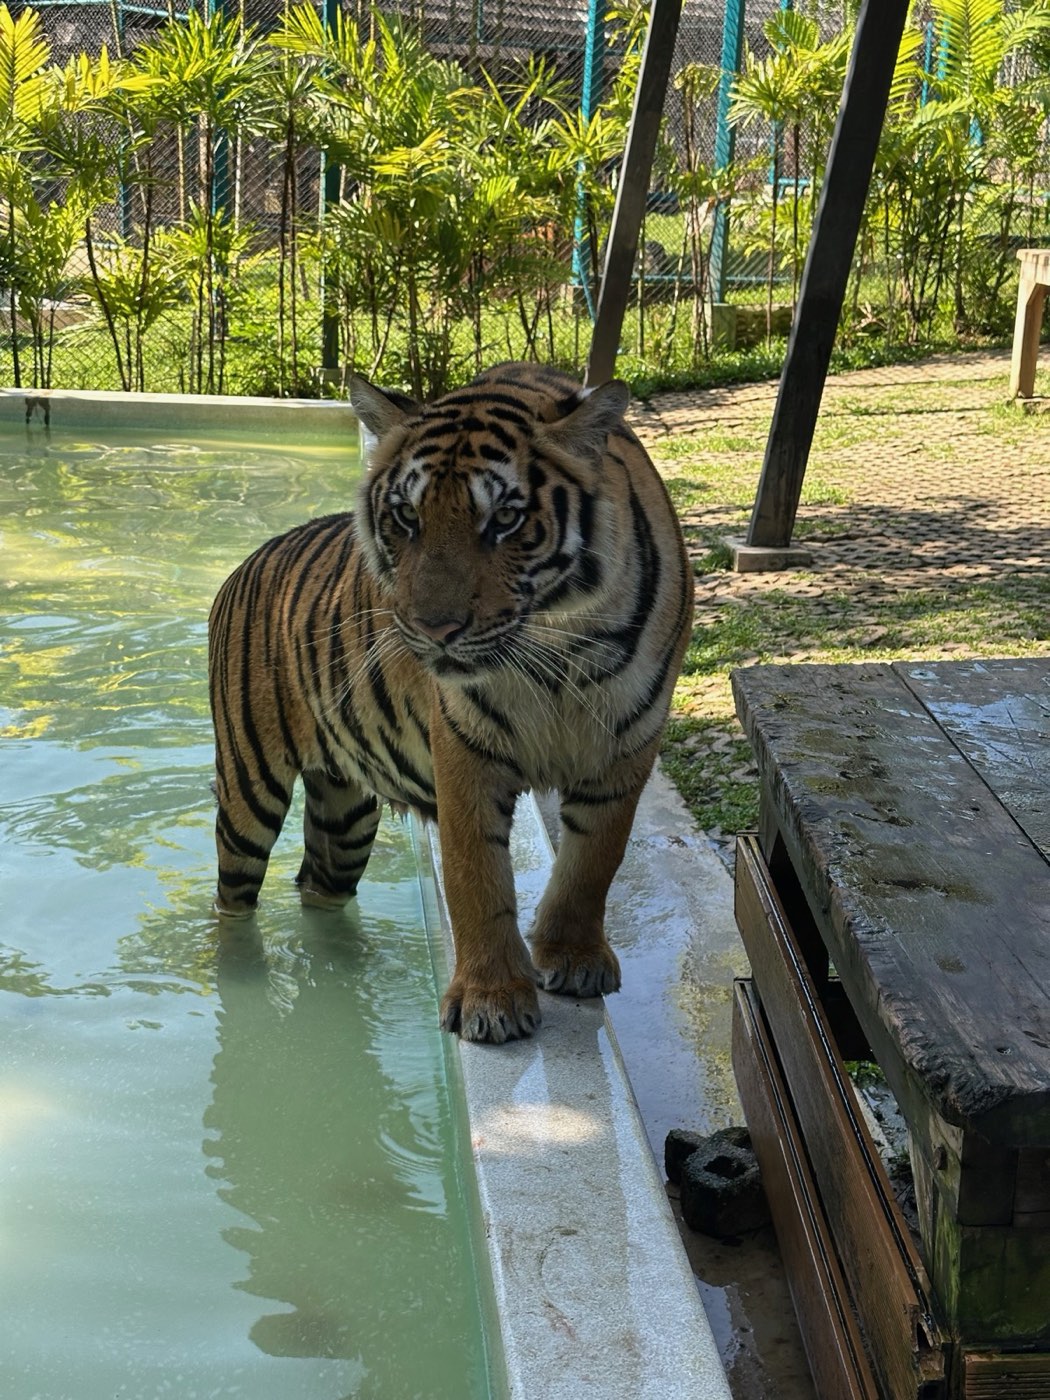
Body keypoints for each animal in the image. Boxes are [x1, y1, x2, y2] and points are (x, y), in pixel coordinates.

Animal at [208, 362, 693, 1044]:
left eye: (506, 518)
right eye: (406, 517)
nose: (433, 629)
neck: (559, 645)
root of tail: (246, 562)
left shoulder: (627, 746)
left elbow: (593, 863)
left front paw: (573, 959)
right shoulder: (464, 750)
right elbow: (475, 876)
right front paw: (492, 999)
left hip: (345, 816)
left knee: (316, 884)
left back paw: (342, 960)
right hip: (248, 788)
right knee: (233, 897)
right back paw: (238, 971)